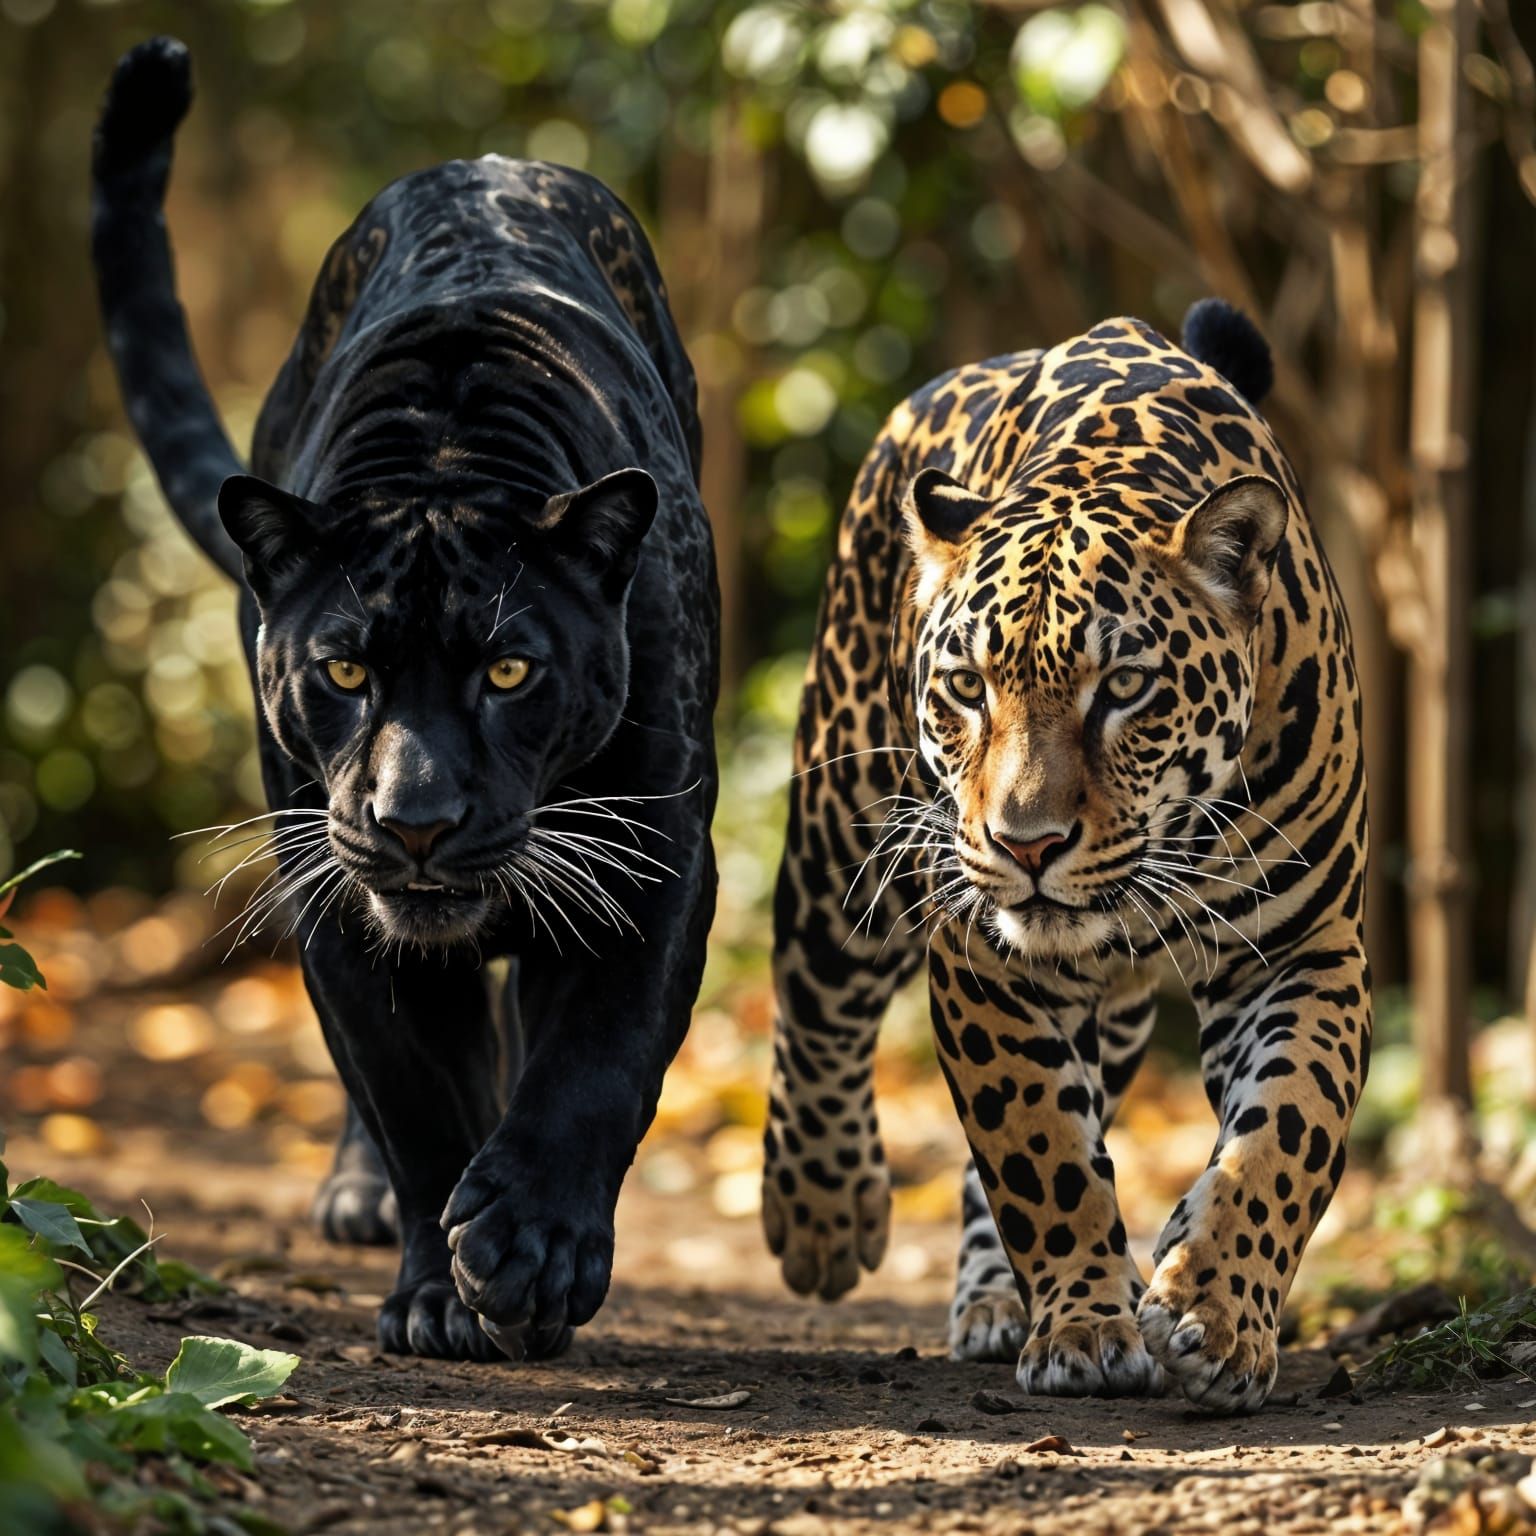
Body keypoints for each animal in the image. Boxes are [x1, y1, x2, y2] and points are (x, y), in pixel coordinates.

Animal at [92, 37, 718, 1362]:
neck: (450, 457)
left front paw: (532, 1249)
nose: (416, 819)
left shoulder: (652, 856)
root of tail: (482, 162)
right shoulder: (330, 885)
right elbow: (411, 1090)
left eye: (509, 671)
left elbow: (599, 1058)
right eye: (344, 671)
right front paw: (442, 1287)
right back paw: (362, 1197)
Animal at [761, 298, 1370, 1413]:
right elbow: (1036, 1143)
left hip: (1118, 1008)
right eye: (967, 687)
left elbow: (1283, 1135)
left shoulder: (1303, 950)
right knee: (817, 1005)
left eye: (1124, 687)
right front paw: (1085, 1325)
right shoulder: (982, 958)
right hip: (843, 837)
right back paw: (824, 1213)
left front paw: (1215, 1313)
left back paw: (1010, 1296)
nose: (1026, 842)